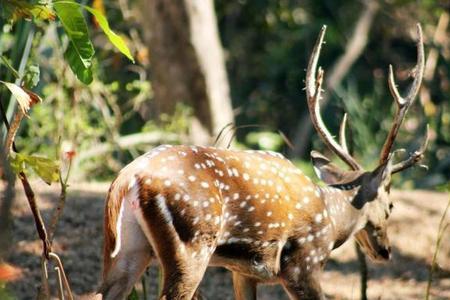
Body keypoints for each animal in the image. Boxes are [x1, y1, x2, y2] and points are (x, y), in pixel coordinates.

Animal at [94, 24, 428, 298]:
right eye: (391, 205)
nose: (385, 251)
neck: (332, 222)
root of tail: (128, 178)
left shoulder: (243, 273)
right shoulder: (303, 265)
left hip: (125, 248)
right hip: (191, 242)